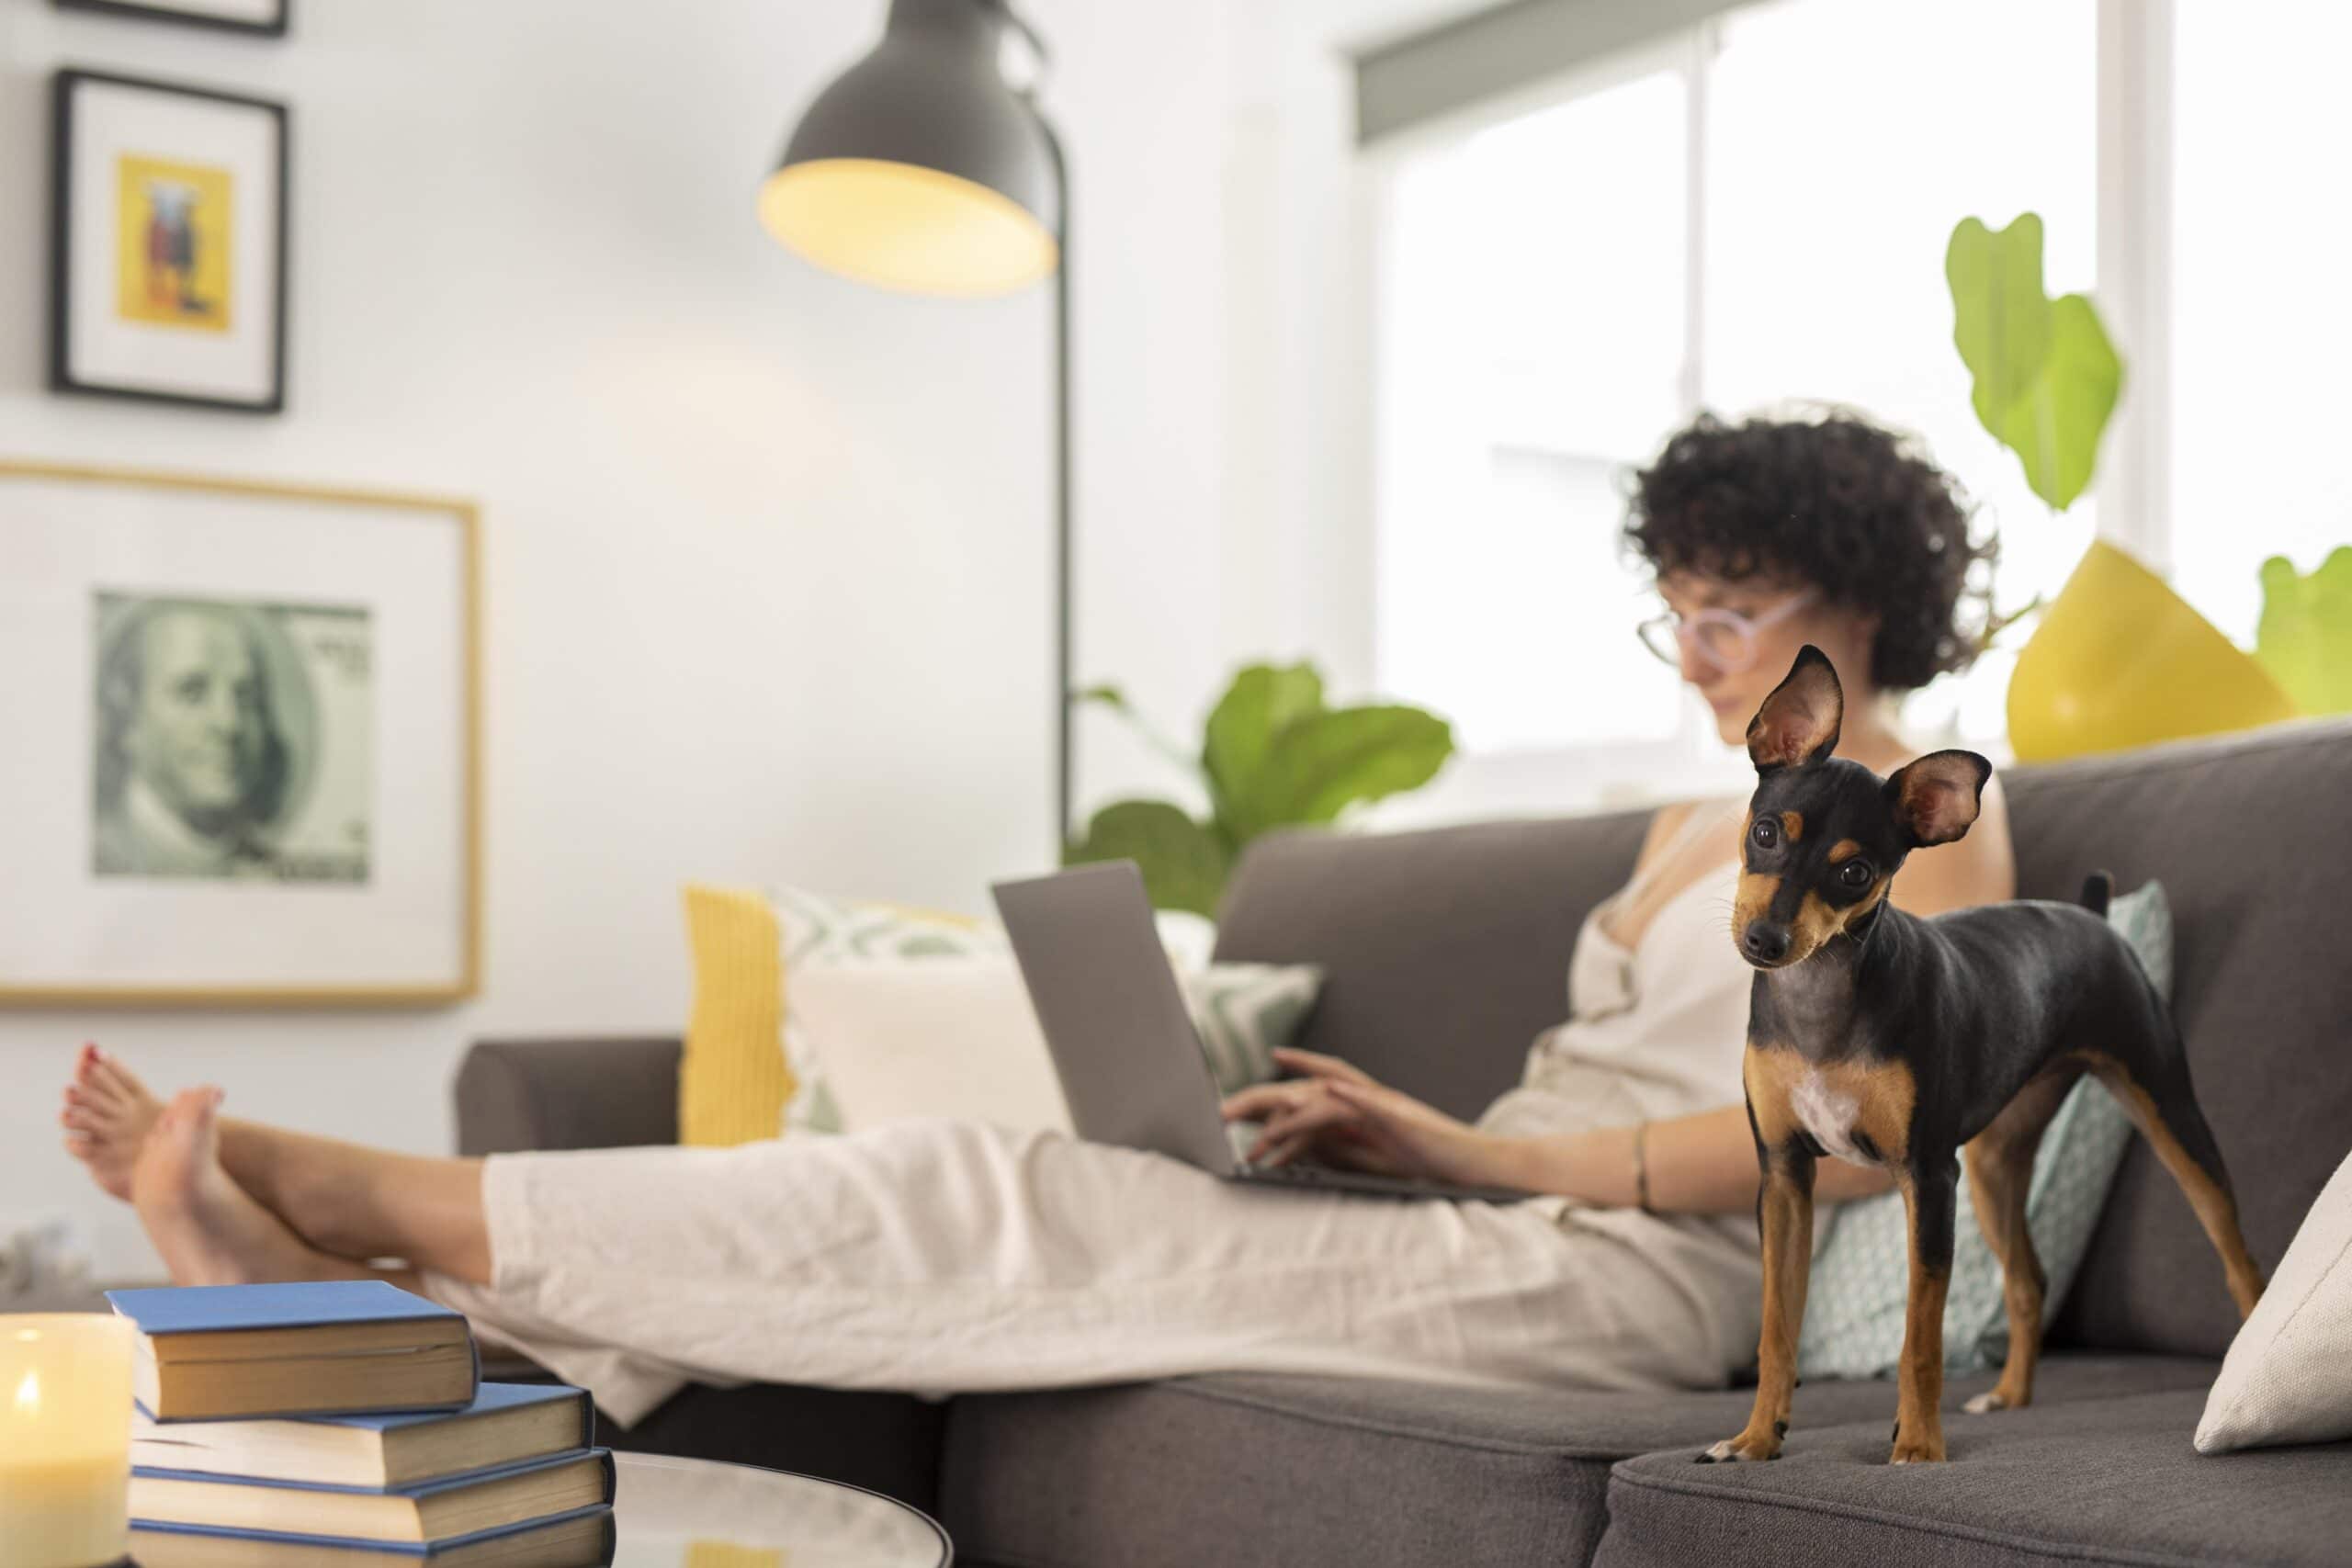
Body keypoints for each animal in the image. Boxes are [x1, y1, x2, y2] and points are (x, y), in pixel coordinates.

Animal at [1702, 644, 2267, 1466]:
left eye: (1855, 873)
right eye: (1768, 832)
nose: (1765, 941)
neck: (1821, 1001)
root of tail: (2093, 915)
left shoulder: (1928, 1177)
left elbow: (1920, 1335)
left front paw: (1918, 1444)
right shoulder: (1783, 1177)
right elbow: (1779, 1326)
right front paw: (1755, 1436)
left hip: (2171, 1117)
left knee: (2240, 1260)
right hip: (1998, 1168)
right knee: (2029, 1280)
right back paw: (2008, 1395)